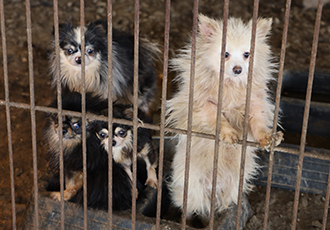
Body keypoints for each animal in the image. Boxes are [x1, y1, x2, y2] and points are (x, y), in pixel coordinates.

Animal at [166, 14, 282, 221]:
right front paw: (228, 134)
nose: (237, 69)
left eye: (247, 54)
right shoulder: (202, 105)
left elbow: (258, 124)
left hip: (233, 187)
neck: (230, 85)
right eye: (225, 54)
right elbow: (217, 118)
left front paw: (267, 138)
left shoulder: (254, 105)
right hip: (191, 190)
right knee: (190, 207)